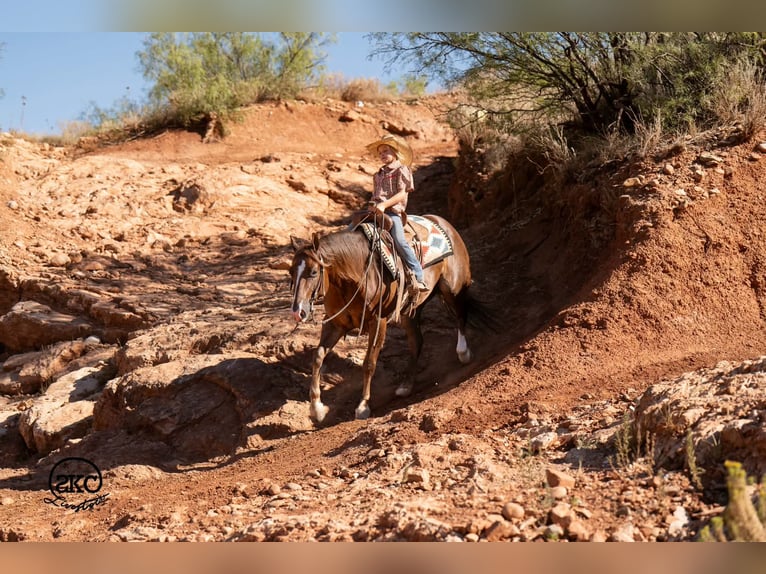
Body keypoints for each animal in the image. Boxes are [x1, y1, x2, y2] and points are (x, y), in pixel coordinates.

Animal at [289, 213, 488, 424]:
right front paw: (316, 408)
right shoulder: (335, 323)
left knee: (460, 315)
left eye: (313, 272)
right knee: (416, 342)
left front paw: (363, 406)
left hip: (452, 289)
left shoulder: (378, 322)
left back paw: (463, 352)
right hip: (409, 312)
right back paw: (406, 386)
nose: (298, 311)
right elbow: (318, 356)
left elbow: (369, 363)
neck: (353, 276)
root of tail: (444, 223)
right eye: (291, 272)